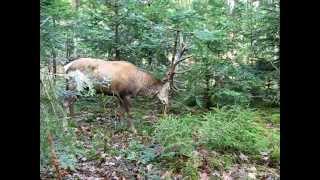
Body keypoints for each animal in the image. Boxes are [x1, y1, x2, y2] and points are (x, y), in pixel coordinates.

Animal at [63, 30, 191, 133]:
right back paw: (69, 126)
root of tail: (66, 67)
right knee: (66, 103)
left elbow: (121, 112)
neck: (139, 84)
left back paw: (75, 125)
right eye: (168, 89)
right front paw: (133, 130)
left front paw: (120, 127)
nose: (166, 102)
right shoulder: (125, 93)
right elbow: (130, 113)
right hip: (76, 85)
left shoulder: (118, 95)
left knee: (70, 103)